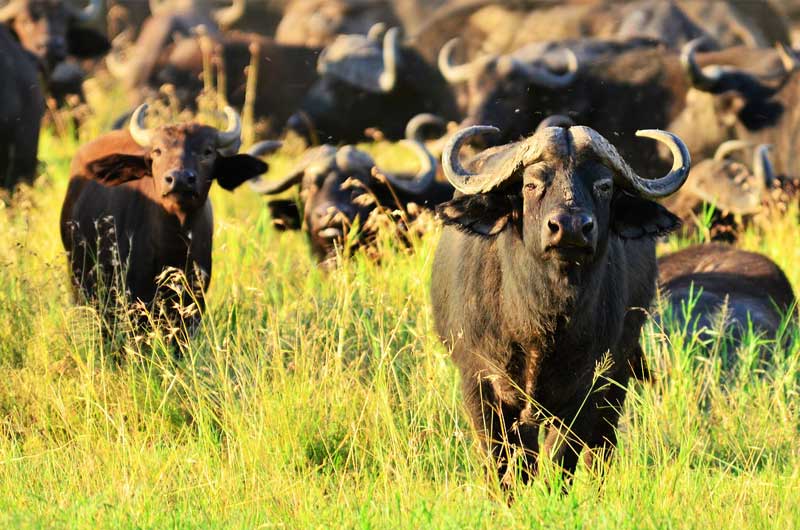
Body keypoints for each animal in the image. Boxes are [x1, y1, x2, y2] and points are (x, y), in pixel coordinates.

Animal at [428, 122, 692, 482]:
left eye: (604, 185)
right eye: (531, 184)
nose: (570, 227)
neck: (541, 322)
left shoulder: (587, 389)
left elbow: (560, 460)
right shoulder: (479, 382)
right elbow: (502, 461)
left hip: (618, 377)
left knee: (601, 449)